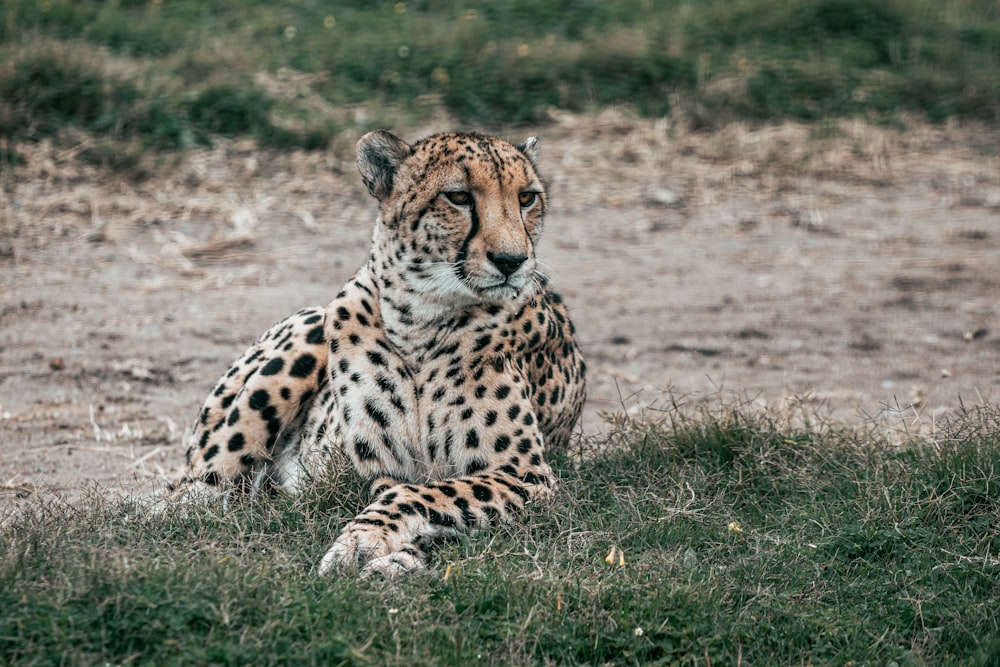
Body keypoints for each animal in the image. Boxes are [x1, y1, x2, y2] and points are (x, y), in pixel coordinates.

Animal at [165, 130, 584, 580]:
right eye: (458, 197)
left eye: (526, 198)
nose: (512, 261)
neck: (421, 316)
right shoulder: (386, 469)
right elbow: (410, 493)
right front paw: (372, 547)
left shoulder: (527, 473)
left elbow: (428, 495)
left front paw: (381, 552)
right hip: (309, 328)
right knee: (187, 493)